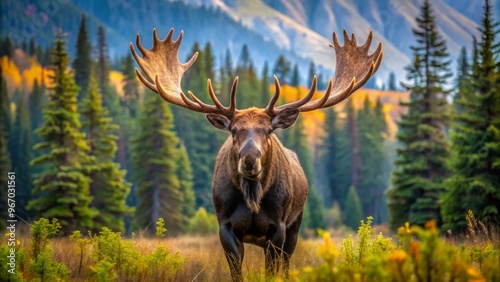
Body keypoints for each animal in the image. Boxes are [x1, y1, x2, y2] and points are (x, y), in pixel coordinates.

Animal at [130, 28, 382, 280]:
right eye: (233, 130)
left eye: (269, 130)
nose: (250, 159)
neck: (252, 197)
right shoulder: (225, 226)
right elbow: (236, 271)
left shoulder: (279, 227)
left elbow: (272, 270)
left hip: (296, 225)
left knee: (286, 262)